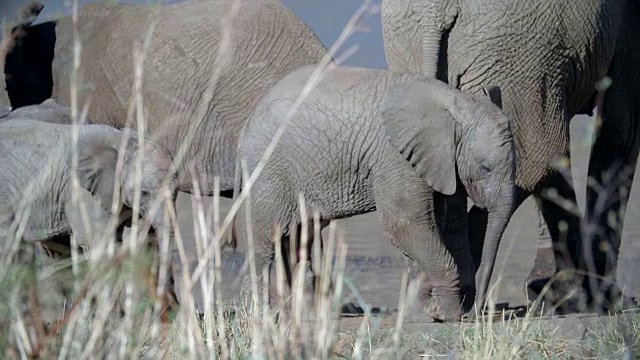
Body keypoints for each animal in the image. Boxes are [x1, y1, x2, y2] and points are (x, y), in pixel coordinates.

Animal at [232, 65, 516, 324]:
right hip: (269, 171)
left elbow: (430, 226)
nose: (474, 313)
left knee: (299, 237)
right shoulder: (395, 157)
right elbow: (405, 225)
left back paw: (309, 317)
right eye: (485, 167)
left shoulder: (433, 161)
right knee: (265, 239)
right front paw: (447, 314)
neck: (454, 101)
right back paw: (262, 318)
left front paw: (423, 313)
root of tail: (246, 126)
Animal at [380, 0, 640, 310]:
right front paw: (605, 300)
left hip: (413, 50)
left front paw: (555, 292)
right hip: (520, 51)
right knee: (542, 157)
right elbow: (620, 134)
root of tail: (433, 12)